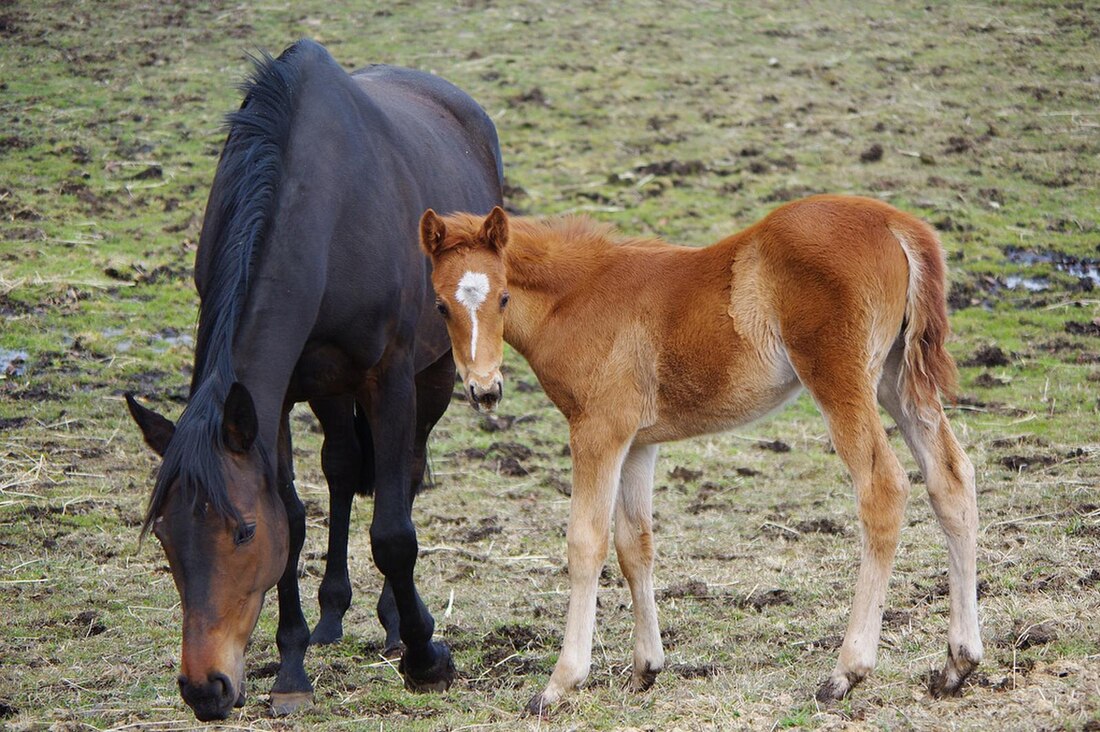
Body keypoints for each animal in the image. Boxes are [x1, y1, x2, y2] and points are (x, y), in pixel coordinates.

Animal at [127, 37, 503, 717]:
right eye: (165, 536)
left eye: (243, 533)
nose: (204, 688)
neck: (326, 209)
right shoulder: (270, 401)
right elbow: (296, 516)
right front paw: (292, 667)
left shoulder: (390, 376)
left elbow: (393, 531)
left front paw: (426, 657)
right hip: (330, 389)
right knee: (343, 467)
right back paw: (333, 617)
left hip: (432, 374)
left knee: (405, 471)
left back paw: (393, 620)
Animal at [418, 195, 981, 713]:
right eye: (441, 305)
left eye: (503, 298)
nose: (484, 390)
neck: (577, 297)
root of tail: (894, 220)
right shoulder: (638, 442)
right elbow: (634, 544)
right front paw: (645, 668)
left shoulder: (598, 430)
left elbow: (586, 543)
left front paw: (560, 684)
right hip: (897, 377)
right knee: (952, 481)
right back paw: (958, 663)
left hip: (840, 377)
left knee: (883, 489)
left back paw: (846, 672)